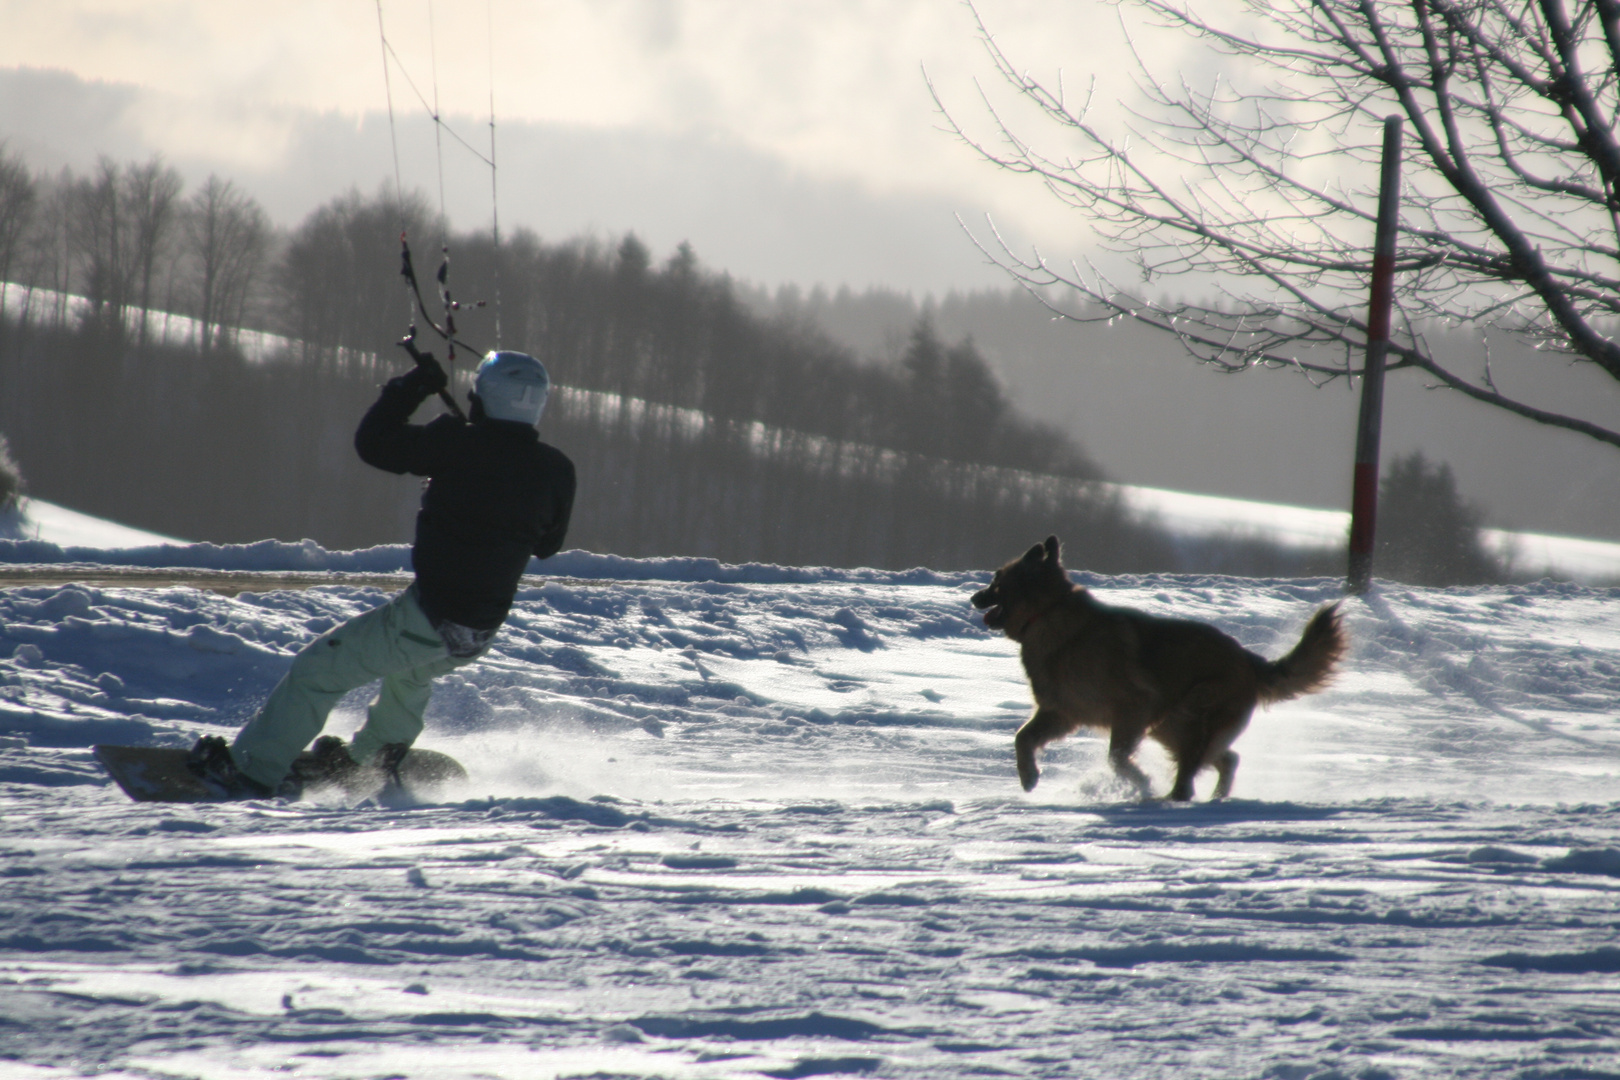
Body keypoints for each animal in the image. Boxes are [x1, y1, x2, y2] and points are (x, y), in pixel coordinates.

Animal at [972, 537, 1341, 799]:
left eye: (996, 580)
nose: (974, 598)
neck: (1048, 613)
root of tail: (1248, 658)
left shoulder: (1132, 709)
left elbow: (1118, 758)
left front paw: (1139, 782)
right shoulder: (1062, 713)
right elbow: (1022, 738)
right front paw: (1028, 776)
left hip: (1186, 714)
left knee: (1192, 775)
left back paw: (1169, 801)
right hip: (1170, 725)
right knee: (1225, 760)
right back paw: (1214, 800)